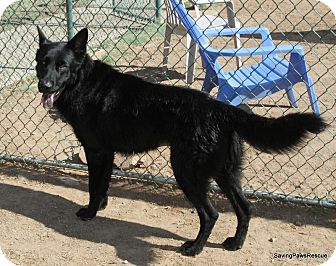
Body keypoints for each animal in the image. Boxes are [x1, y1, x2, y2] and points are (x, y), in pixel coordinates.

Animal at [36, 28, 326, 256]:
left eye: (62, 66)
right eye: (42, 63)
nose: (44, 86)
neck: (83, 82)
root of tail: (220, 109)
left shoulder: (96, 151)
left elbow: (94, 186)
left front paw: (89, 213)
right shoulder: (106, 154)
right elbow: (103, 185)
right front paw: (101, 207)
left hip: (187, 172)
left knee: (211, 214)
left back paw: (195, 248)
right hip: (225, 175)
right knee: (245, 209)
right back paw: (235, 244)